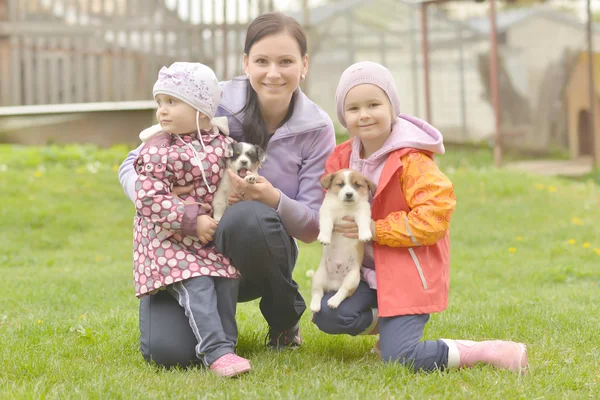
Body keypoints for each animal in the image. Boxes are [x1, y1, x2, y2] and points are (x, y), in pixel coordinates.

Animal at [310, 169, 376, 312]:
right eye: (340, 184)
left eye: (357, 185)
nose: (349, 194)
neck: (344, 207)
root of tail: (334, 284)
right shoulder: (327, 212)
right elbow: (327, 225)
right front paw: (324, 237)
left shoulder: (362, 212)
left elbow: (363, 223)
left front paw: (365, 234)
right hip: (319, 277)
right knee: (317, 292)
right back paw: (315, 306)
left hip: (352, 279)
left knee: (343, 291)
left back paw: (333, 301)